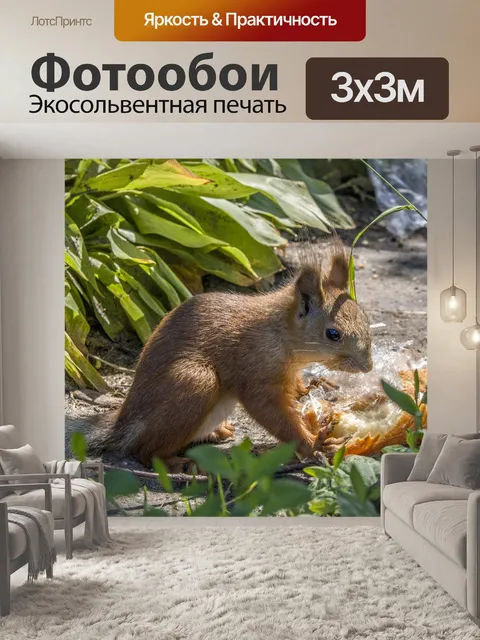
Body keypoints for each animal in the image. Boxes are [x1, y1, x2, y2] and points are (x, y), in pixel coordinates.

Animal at [90, 241, 373, 468]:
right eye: (333, 334)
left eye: (365, 317)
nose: (368, 367)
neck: (279, 334)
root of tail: (125, 422)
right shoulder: (255, 372)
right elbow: (272, 413)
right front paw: (315, 443)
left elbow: (295, 390)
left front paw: (311, 386)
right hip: (195, 380)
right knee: (144, 451)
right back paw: (178, 464)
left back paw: (216, 433)